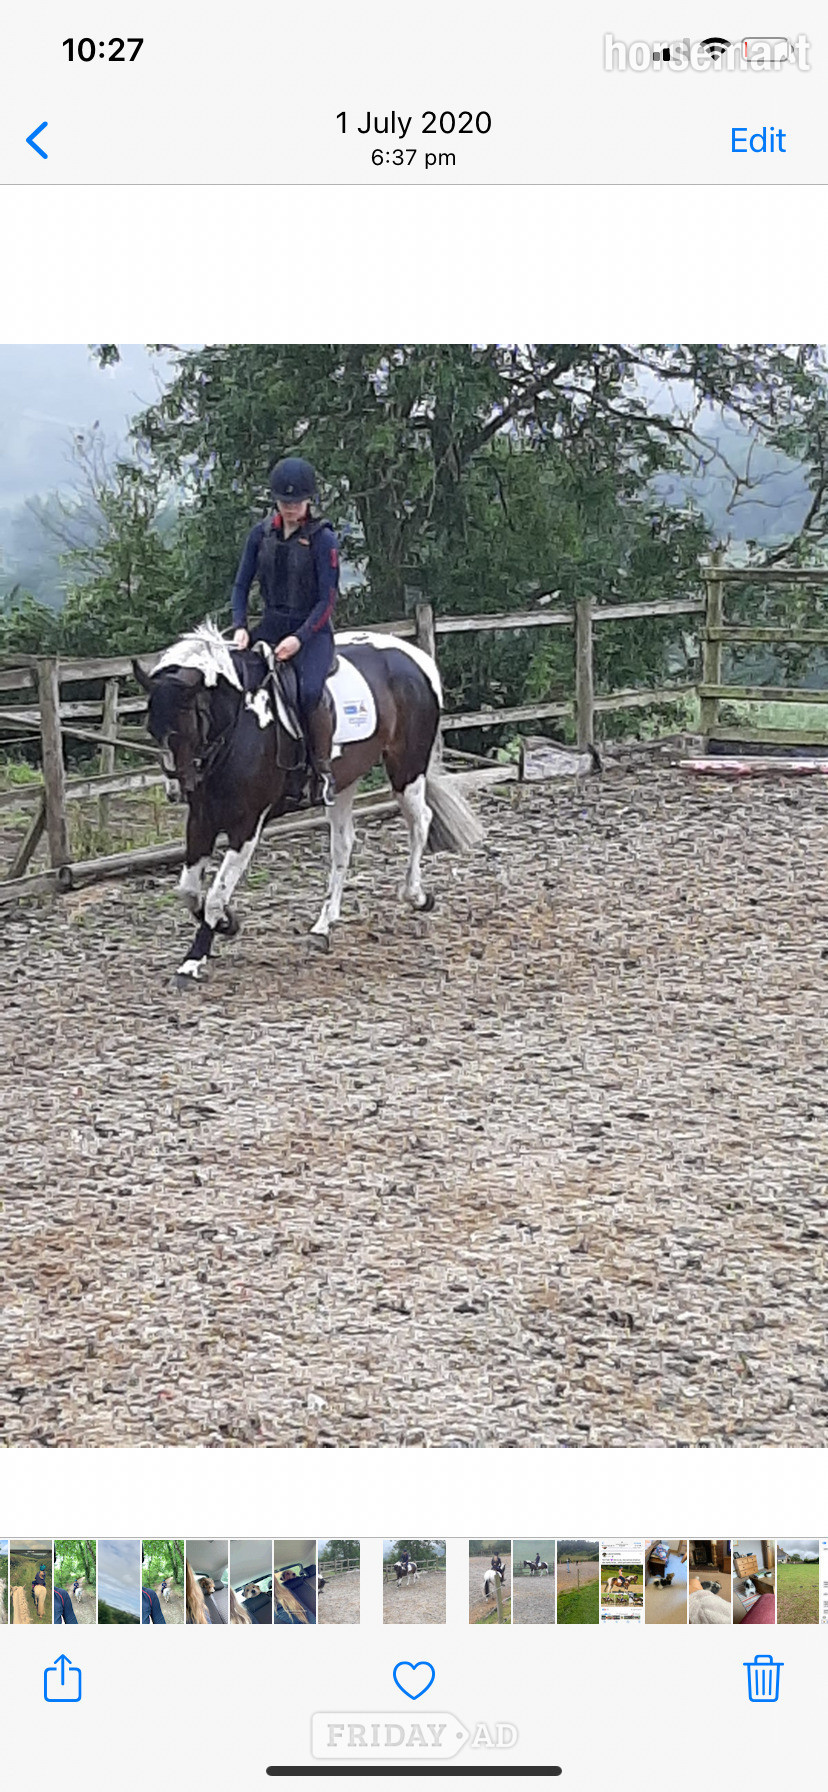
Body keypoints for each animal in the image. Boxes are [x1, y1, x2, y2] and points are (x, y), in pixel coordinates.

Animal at [133, 623, 483, 980]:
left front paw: (206, 944)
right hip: (345, 781)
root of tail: (416, 657)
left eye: (188, 723)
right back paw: (323, 926)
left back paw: (417, 896)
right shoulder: (201, 818)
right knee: (344, 843)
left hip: (407, 767)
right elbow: (189, 891)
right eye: (152, 729)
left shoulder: (246, 825)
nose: (176, 790)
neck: (240, 723)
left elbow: (217, 894)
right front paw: (217, 933)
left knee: (420, 821)